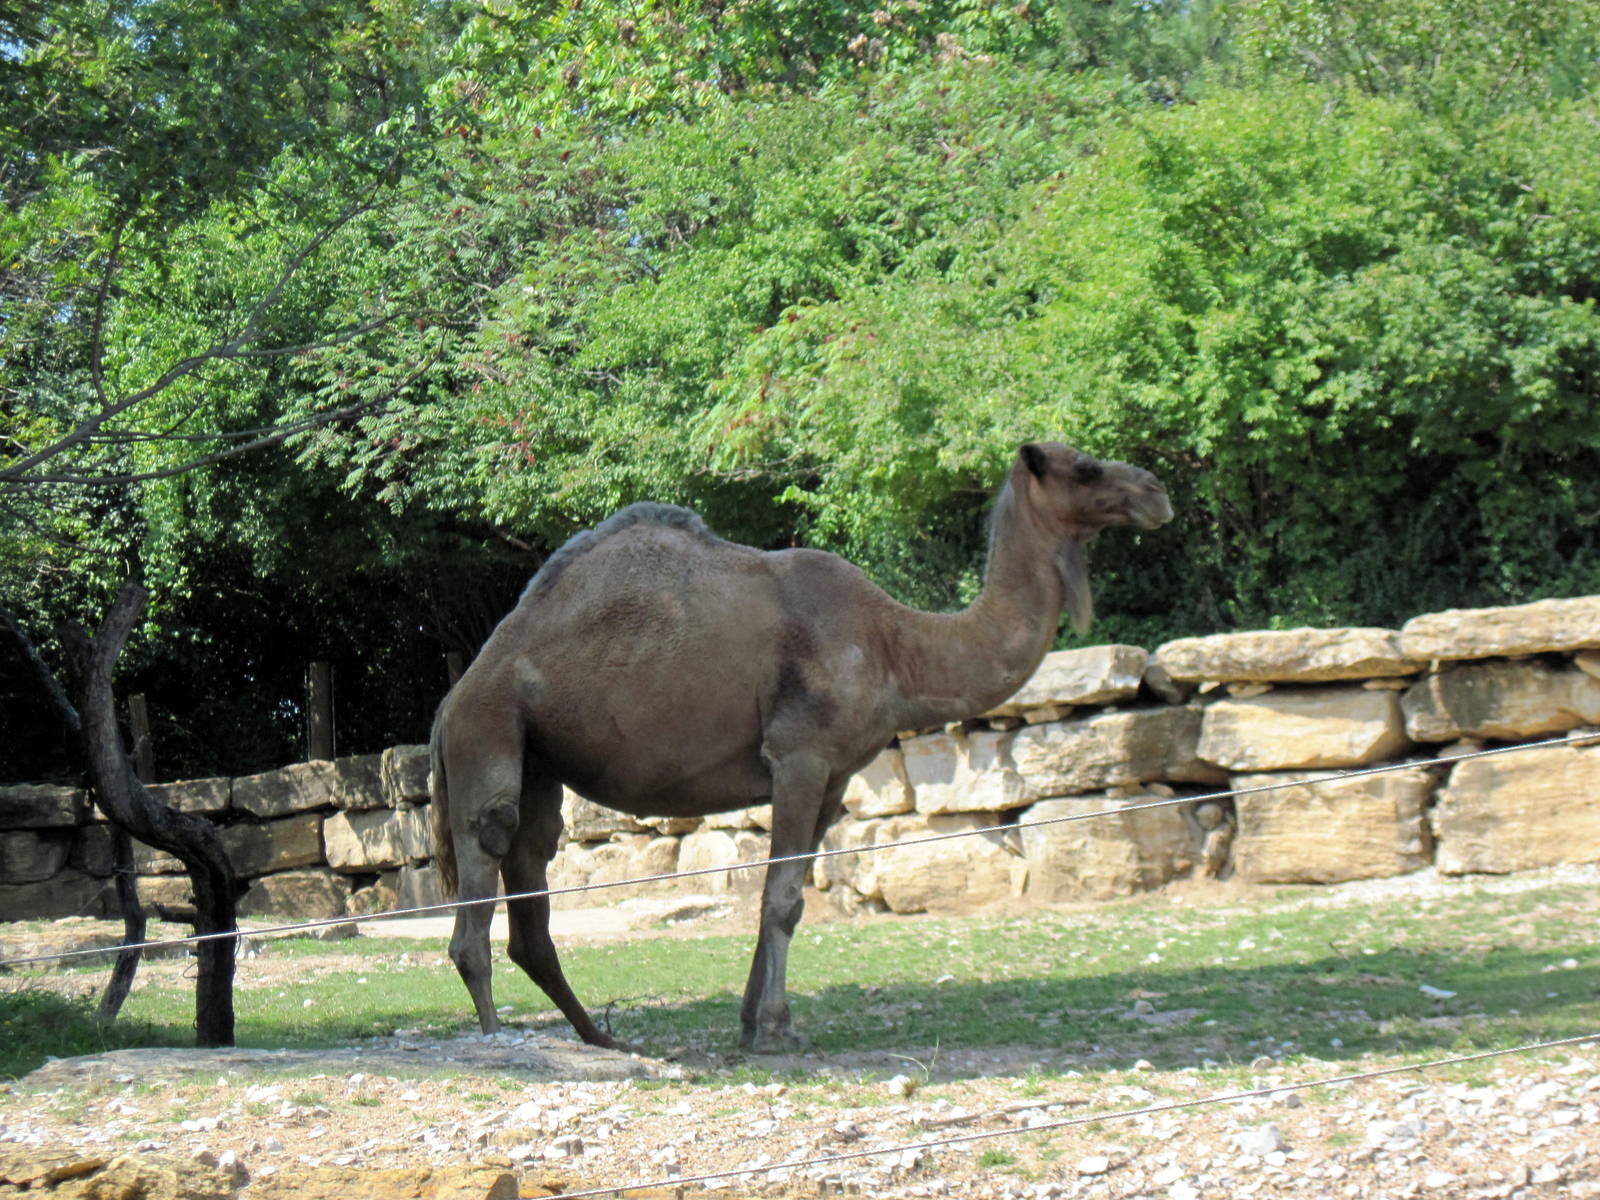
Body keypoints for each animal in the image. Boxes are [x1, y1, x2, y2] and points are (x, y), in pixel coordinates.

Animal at [429, 441, 1172, 1052]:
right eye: (1085, 468)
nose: (1155, 491)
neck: (897, 646)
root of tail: (451, 698)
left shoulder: (835, 778)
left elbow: (786, 893)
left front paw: (753, 1022)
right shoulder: (800, 756)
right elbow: (782, 898)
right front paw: (775, 1030)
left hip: (538, 760)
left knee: (532, 894)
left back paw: (601, 1037)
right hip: (488, 730)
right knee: (484, 869)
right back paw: (495, 1037)